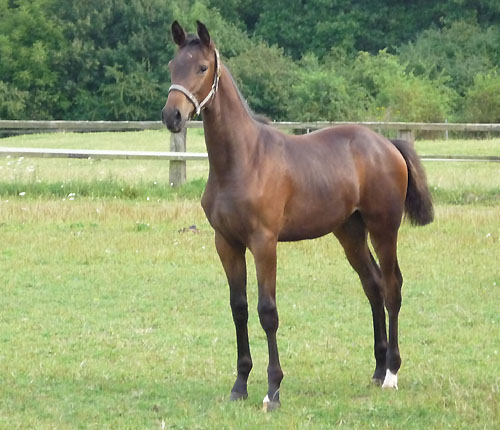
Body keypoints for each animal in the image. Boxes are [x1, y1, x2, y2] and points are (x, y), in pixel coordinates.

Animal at [163, 21, 434, 412]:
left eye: (201, 67)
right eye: (172, 65)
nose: (172, 116)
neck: (243, 159)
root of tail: (387, 145)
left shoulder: (264, 243)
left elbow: (267, 311)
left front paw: (273, 390)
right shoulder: (226, 243)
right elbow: (239, 308)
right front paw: (240, 385)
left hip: (384, 228)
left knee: (393, 287)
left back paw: (392, 374)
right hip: (350, 232)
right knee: (373, 285)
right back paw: (378, 369)